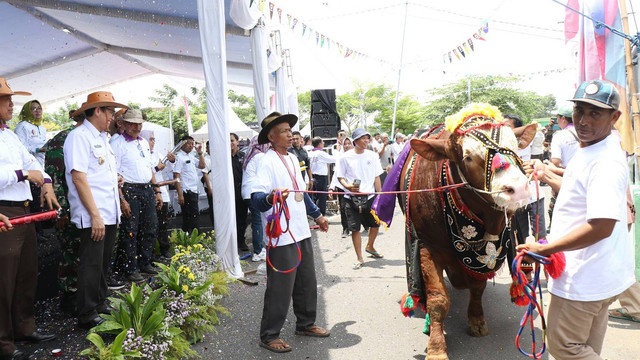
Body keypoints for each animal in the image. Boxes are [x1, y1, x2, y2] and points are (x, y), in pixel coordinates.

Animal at [372, 102, 536, 358]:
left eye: (515, 147)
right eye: (468, 157)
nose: (518, 189)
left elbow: (478, 287)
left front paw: (477, 320)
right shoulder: (426, 246)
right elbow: (438, 299)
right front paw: (436, 348)